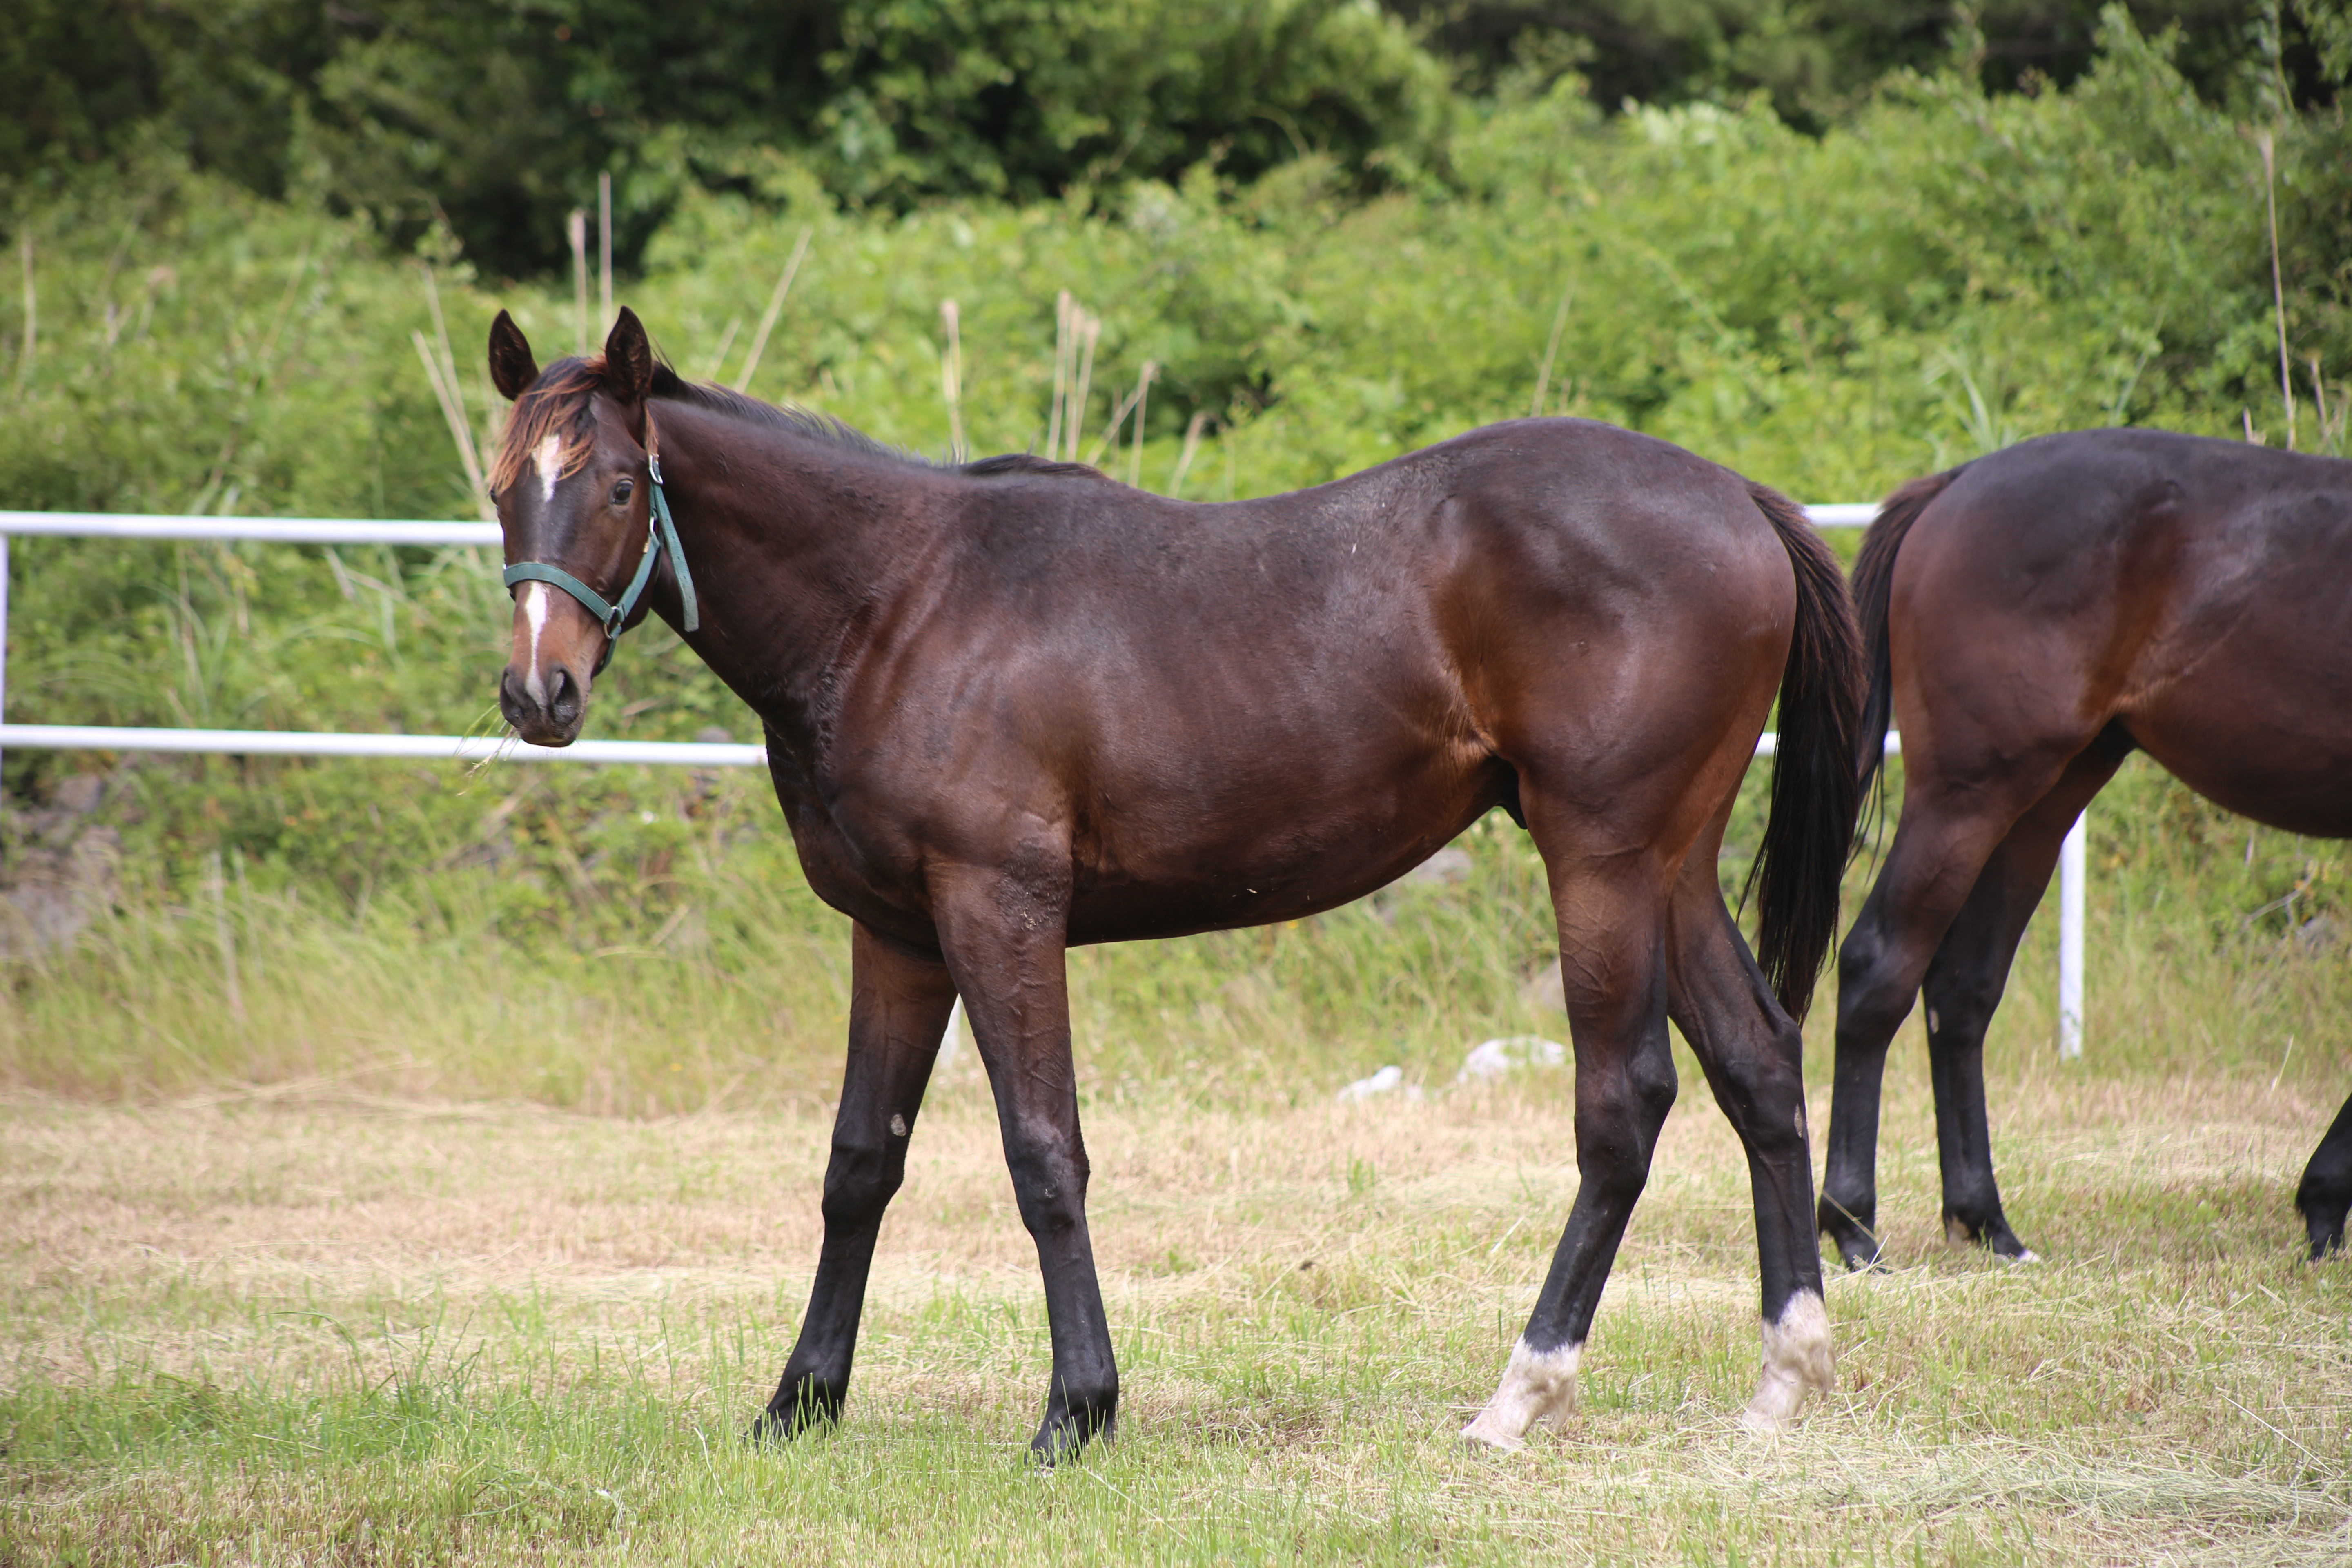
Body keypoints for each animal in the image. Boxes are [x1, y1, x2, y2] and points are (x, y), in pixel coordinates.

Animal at [1825, 430, 2352, 1278]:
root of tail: (1955, 486)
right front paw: (2326, 1202)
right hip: (1971, 792)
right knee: (1882, 963)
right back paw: (1852, 1227)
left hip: (2042, 803)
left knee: (1962, 988)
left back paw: (1988, 1223)